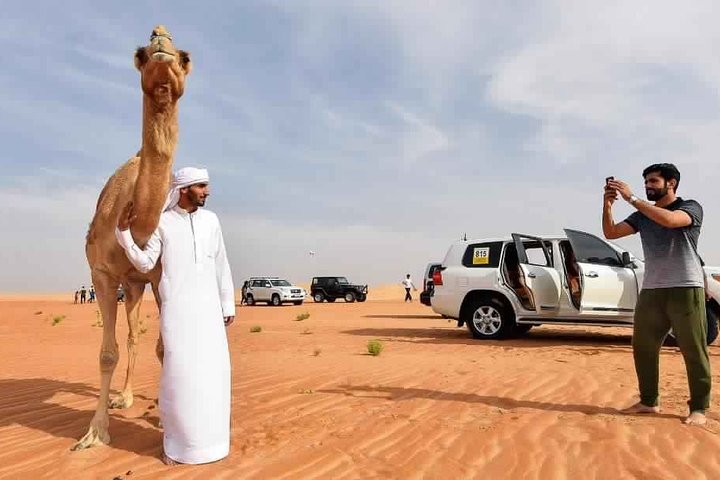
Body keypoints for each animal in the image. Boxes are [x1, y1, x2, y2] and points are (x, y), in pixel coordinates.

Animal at [72, 25, 191, 451]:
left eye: (186, 56)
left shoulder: (158, 275)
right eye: (140, 54)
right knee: (131, 337)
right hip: (130, 283)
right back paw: (122, 398)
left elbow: (163, 347)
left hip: (139, 283)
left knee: (140, 337)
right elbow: (107, 353)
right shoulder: (103, 275)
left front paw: (165, 417)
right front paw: (94, 432)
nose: (160, 39)